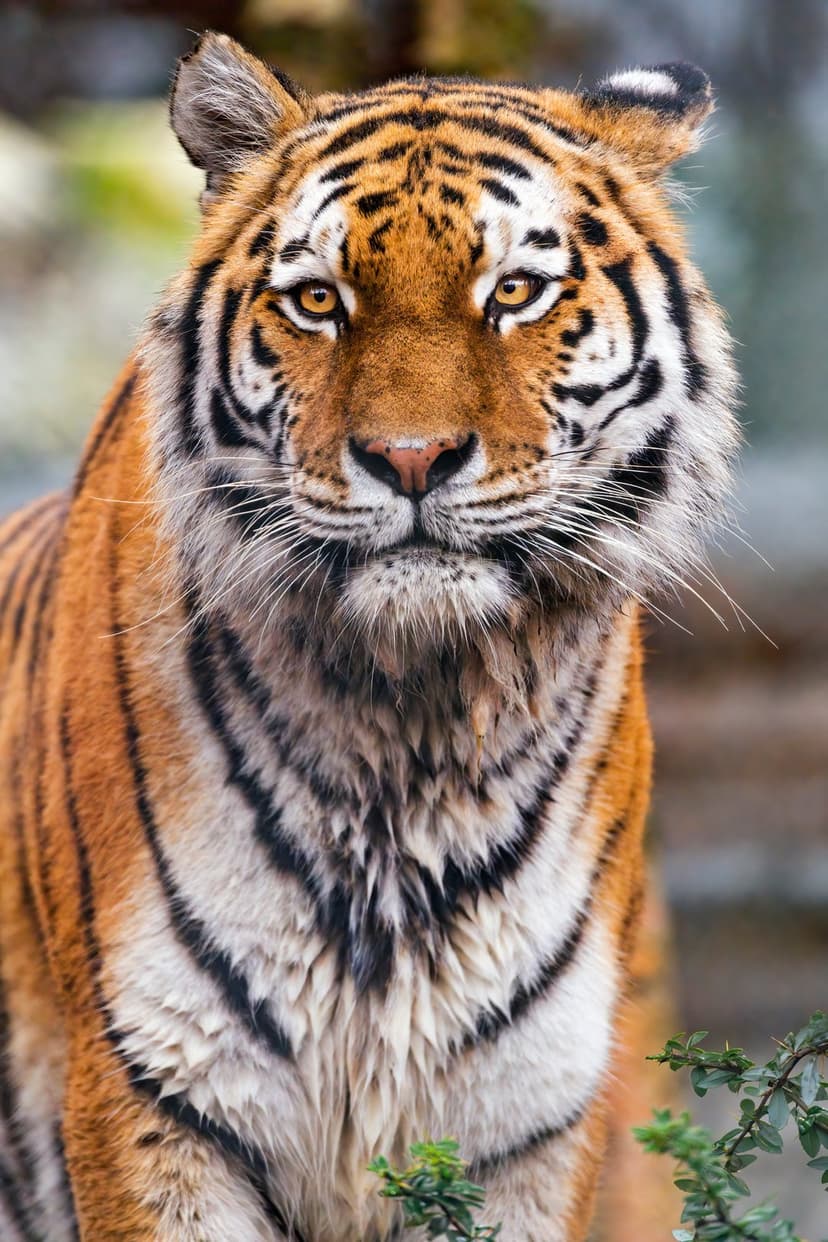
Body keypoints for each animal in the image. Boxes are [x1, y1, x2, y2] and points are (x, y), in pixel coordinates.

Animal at [0, 32, 738, 1242]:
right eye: (317, 301)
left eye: (514, 292)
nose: (410, 458)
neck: (414, 731)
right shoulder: (153, 1099)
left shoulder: (525, 1124)